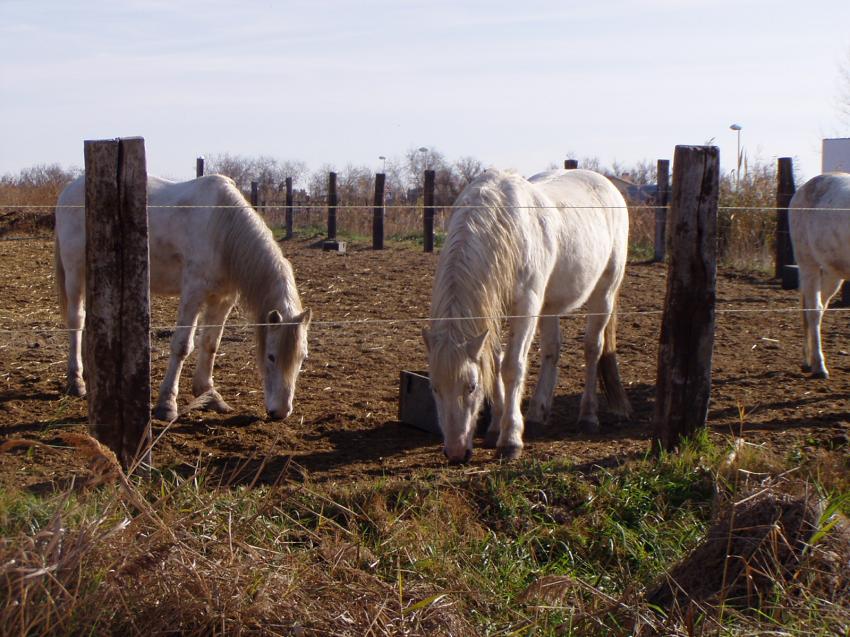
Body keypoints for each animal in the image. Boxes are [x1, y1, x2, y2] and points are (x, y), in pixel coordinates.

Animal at [54, 174, 311, 422]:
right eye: (271, 356)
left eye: (302, 358)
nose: (281, 412)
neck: (221, 227)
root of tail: (69, 189)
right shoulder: (193, 293)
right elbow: (182, 346)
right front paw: (167, 405)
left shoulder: (222, 299)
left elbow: (211, 344)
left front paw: (209, 394)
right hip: (75, 270)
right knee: (76, 320)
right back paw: (76, 382)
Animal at [422, 168, 632, 464]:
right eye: (434, 388)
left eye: (472, 386)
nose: (455, 452)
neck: (501, 224)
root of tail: (608, 184)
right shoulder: (496, 311)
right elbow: (496, 362)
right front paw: (495, 428)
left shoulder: (527, 307)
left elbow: (512, 366)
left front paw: (510, 440)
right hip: (550, 305)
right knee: (552, 350)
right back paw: (537, 413)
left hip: (604, 293)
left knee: (593, 348)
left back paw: (588, 416)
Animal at [788, 172, 850, 379]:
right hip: (808, 264)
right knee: (813, 311)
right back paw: (818, 366)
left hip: (833, 273)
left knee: (820, 308)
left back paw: (808, 361)